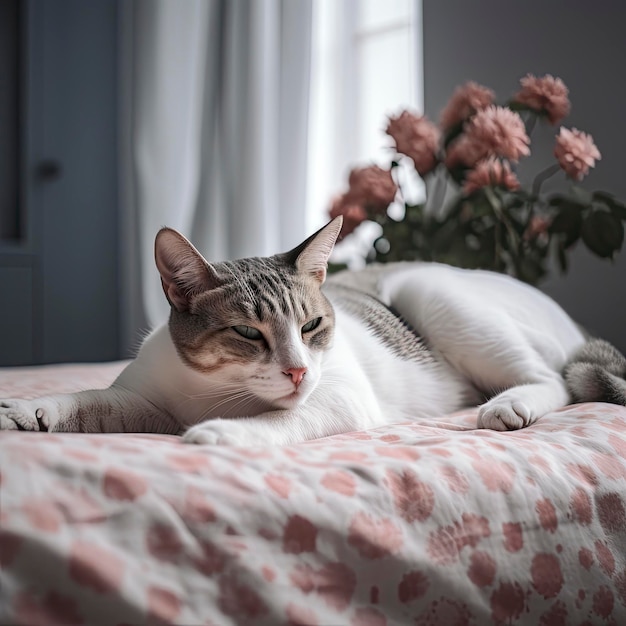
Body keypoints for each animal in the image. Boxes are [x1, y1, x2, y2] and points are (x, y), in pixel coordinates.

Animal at [0, 216, 620, 444]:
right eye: (248, 333)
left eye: (313, 324)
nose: (298, 370)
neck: (215, 392)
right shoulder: (147, 402)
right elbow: (91, 401)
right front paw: (31, 409)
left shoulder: (340, 398)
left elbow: (282, 420)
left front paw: (222, 434)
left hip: (434, 295)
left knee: (555, 380)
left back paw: (509, 405)